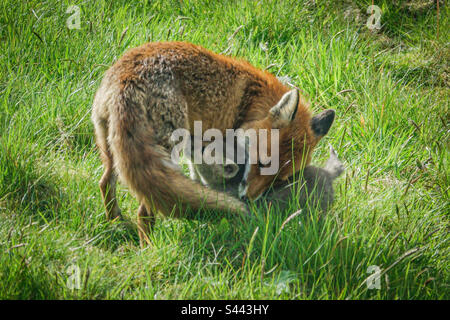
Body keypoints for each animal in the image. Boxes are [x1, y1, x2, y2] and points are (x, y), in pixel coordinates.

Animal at [92, 41, 334, 244]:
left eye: (279, 179)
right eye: (263, 163)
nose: (247, 199)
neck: (248, 103)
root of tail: (128, 78)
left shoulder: (196, 150)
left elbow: (196, 180)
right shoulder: (207, 146)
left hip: (113, 149)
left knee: (105, 183)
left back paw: (117, 222)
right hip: (163, 153)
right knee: (145, 210)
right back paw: (148, 249)